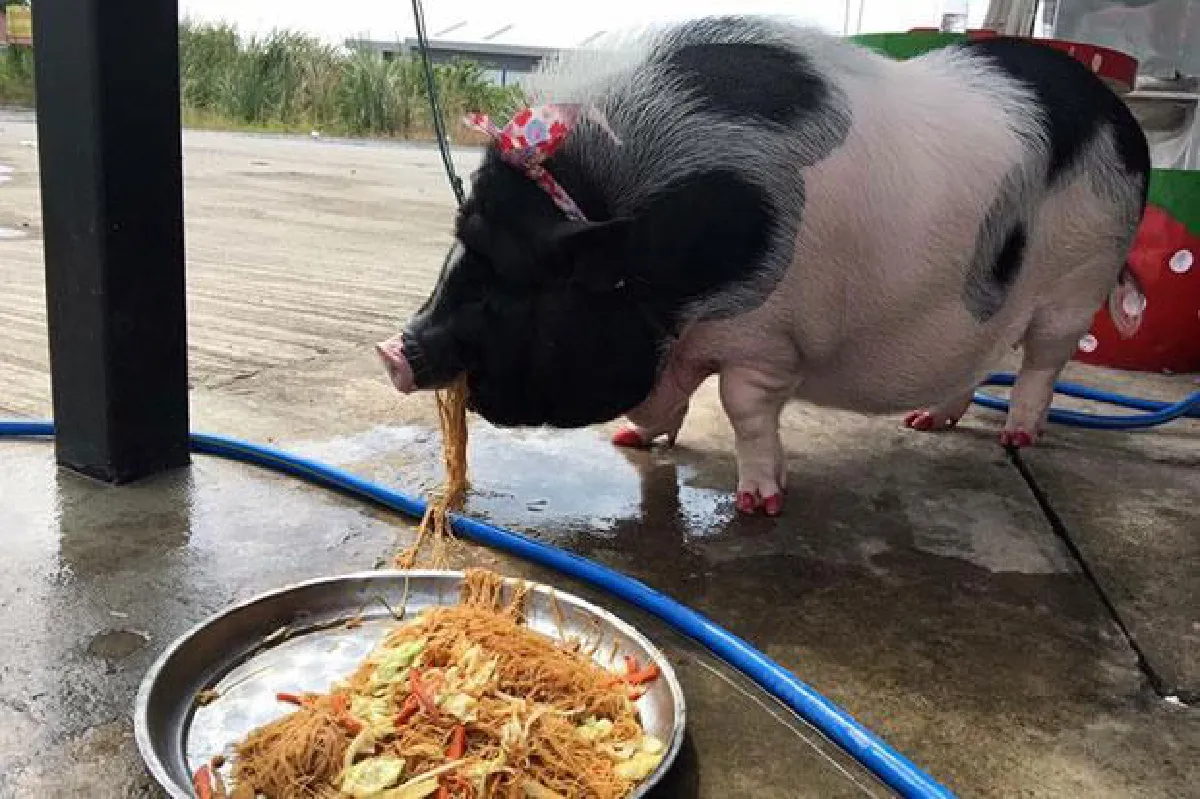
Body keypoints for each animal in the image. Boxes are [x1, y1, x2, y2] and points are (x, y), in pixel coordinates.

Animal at [377, 17, 1149, 516]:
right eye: (462, 246)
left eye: (512, 284)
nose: (393, 351)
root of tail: (1122, 120)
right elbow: (667, 397)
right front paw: (631, 439)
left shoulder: (765, 339)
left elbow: (742, 408)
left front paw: (759, 504)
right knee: (979, 361)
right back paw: (926, 422)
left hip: (1080, 280)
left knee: (1041, 362)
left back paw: (1018, 435)